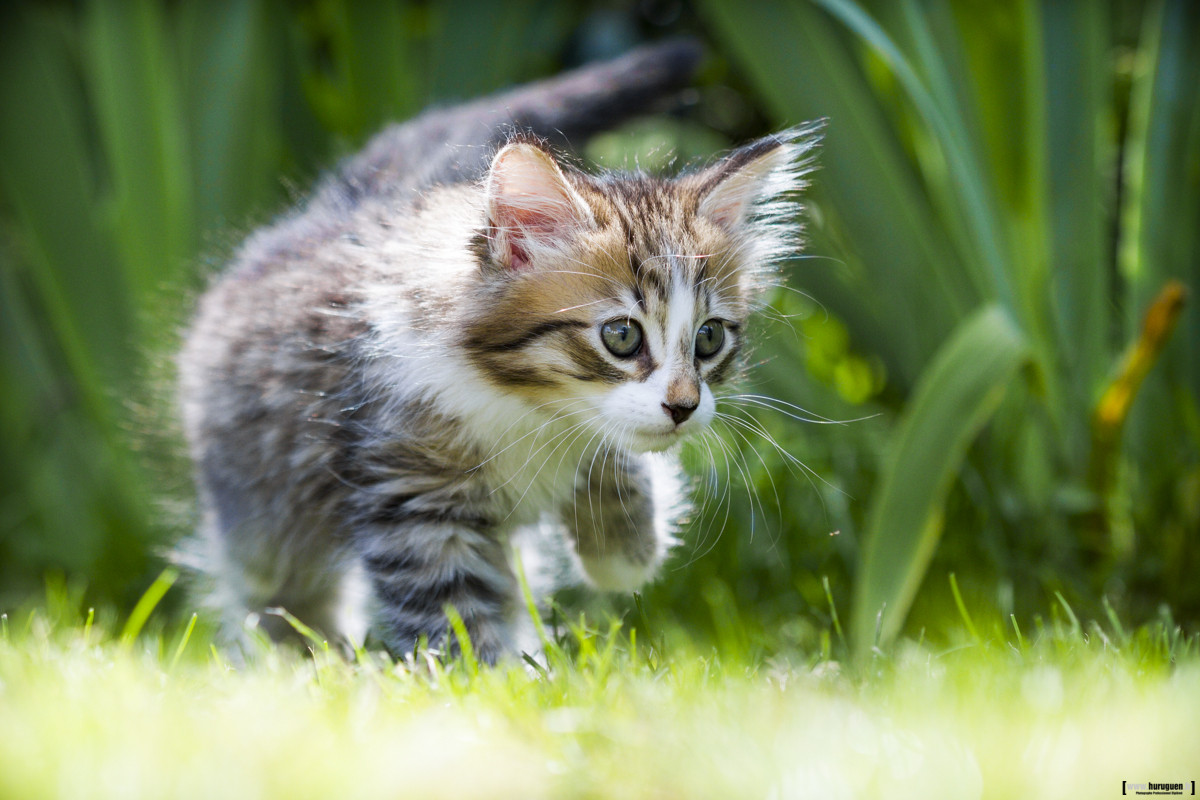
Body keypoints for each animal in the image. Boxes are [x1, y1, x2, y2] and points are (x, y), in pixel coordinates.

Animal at [177, 38, 816, 662]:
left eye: (709, 338)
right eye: (621, 336)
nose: (684, 405)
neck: (526, 405)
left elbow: (617, 461)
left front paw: (624, 550)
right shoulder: (411, 496)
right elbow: (453, 614)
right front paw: (486, 682)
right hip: (263, 523)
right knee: (281, 596)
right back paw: (303, 661)